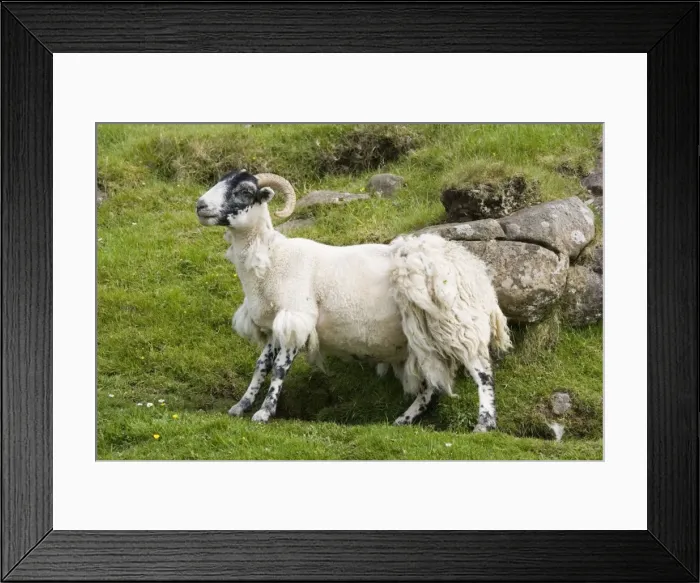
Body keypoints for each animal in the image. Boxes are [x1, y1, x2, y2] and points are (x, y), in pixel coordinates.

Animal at [196, 169, 512, 430]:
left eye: (244, 191)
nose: (199, 206)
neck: (271, 258)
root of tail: (476, 271)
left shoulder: (297, 315)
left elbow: (279, 369)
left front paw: (265, 412)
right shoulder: (278, 322)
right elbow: (261, 365)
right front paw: (241, 405)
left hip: (457, 323)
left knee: (482, 370)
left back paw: (485, 424)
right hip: (425, 335)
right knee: (431, 384)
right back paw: (404, 419)